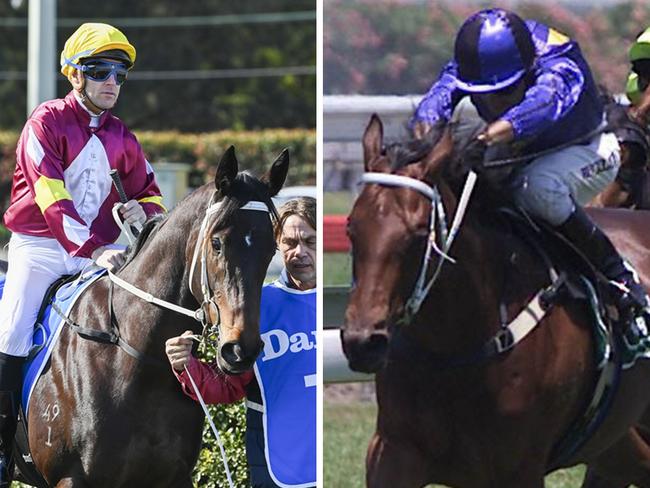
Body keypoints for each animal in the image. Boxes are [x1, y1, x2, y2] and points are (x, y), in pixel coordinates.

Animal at [6, 146, 286, 488]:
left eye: (271, 249)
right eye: (217, 242)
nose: (240, 350)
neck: (137, 361)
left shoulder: (174, 476)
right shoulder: (70, 478)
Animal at [342, 115, 650, 488]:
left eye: (417, 234)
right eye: (351, 228)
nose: (362, 343)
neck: (454, 349)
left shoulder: (519, 467)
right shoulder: (395, 452)